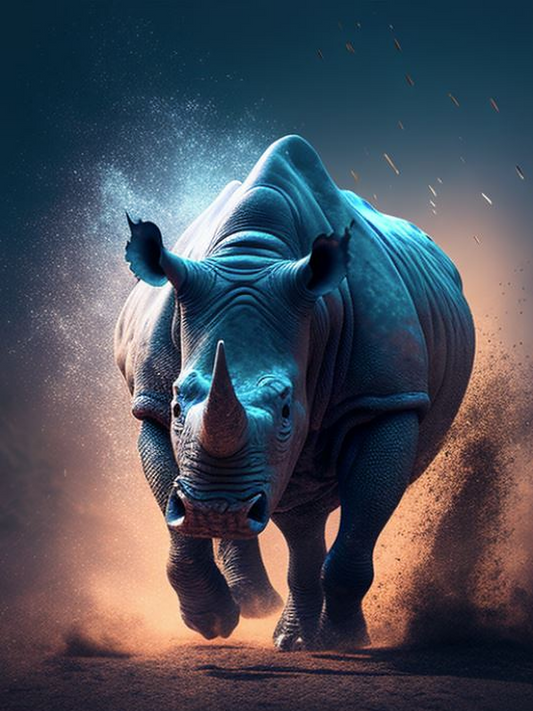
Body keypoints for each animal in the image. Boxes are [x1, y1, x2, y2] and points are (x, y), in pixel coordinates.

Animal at [115, 135, 475, 650]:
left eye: (287, 409)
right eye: (179, 401)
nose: (216, 511)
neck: (254, 255)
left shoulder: (384, 400)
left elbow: (361, 520)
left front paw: (347, 640)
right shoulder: (151, 404)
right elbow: (174, 504)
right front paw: (211, 623)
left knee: (307, 502)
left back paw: (304, 638)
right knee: (296, 504)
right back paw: (268, 616)